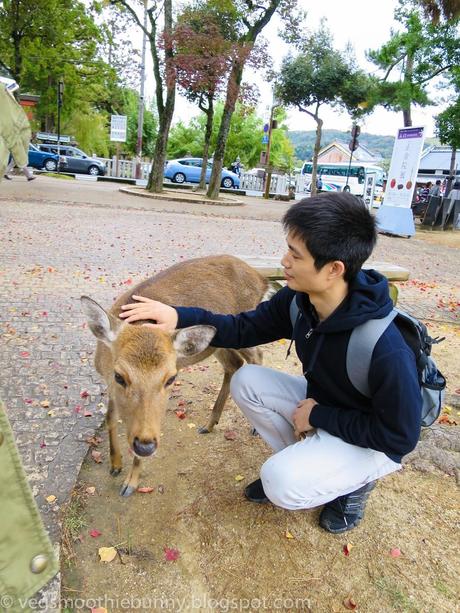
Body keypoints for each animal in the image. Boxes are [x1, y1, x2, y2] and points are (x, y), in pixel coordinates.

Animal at [79, 253, 266, 498]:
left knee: (257, 355)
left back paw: (254, 426)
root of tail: (261, 279)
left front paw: (130, 483)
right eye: (119, 376)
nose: (145, 446)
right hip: (219, 343)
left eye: (171, 378)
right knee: (234, 364)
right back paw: (209, 424)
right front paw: (115, 465)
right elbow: (111, 417)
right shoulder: (108, 382)